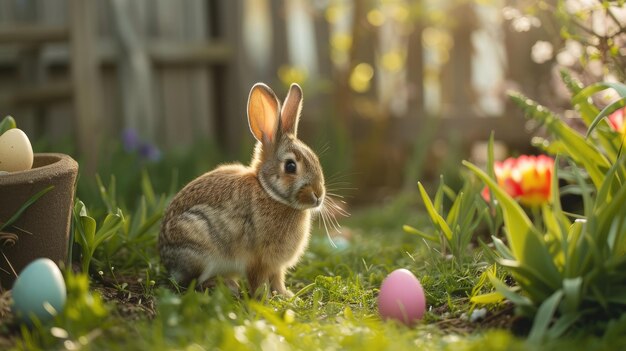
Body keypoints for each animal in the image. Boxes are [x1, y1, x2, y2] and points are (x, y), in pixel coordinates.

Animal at [158, 82, 324, 296]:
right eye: (290, 166)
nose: (318, 195)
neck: (269, 192)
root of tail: (166, 259)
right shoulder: (257, 260)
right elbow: (257, 280)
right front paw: (264, 298)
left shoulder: (276, 266)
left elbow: (278, 279)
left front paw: (285, 295)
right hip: (199, 248)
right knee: (193, 282)